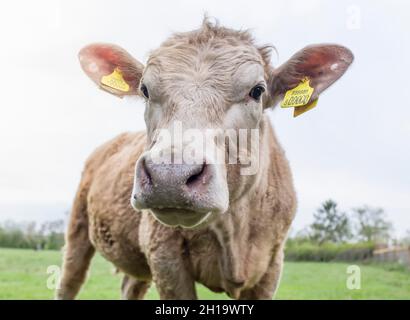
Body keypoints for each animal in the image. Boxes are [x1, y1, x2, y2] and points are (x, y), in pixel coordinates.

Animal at [56, 20, 354, 300]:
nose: (169, 175)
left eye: (257, 90)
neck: (234, 232)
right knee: (69, 280)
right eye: (145, 90)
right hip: (78, 228)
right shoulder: (164, 256)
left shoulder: (272, 265)